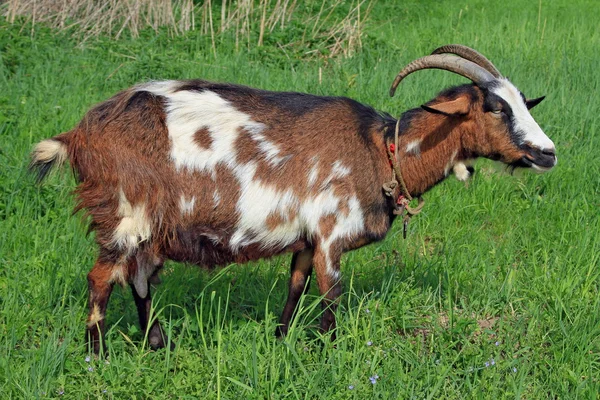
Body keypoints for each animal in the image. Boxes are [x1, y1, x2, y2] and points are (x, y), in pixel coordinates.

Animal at [30, 45, 556, 354]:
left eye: (524, 102)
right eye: (494, 107)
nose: (547, 153)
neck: (380, 150)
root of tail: (79, 134)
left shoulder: (306, 239)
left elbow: (296, 286)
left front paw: (281, 340)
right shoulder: (330, 234)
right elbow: (331, 295)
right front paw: (329, 351)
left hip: (152, 227)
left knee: (139, 277)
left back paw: (157, 343)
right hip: (125, 213)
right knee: (102, 278)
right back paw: (97, 356)